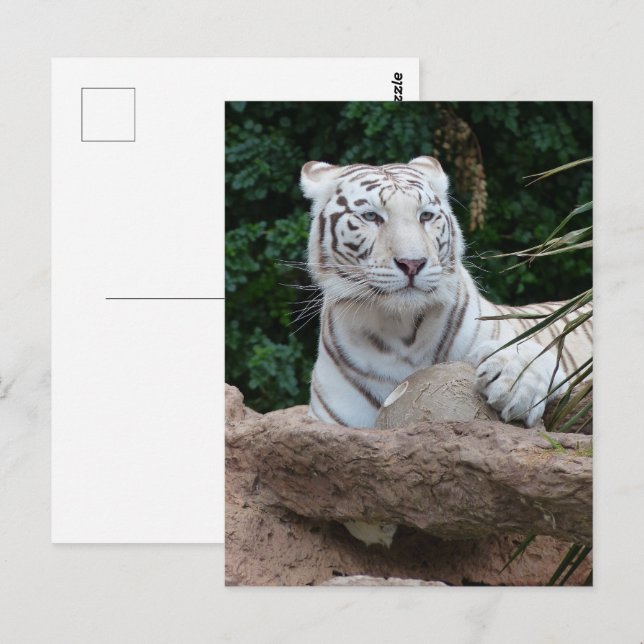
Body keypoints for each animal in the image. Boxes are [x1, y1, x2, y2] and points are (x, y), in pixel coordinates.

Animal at [299, 156, 592, 547]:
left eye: (425, 216)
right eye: (372, 216)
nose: (412, 263)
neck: (399, 330)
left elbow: (529, 352)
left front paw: (513, 386)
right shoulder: (336, 422)